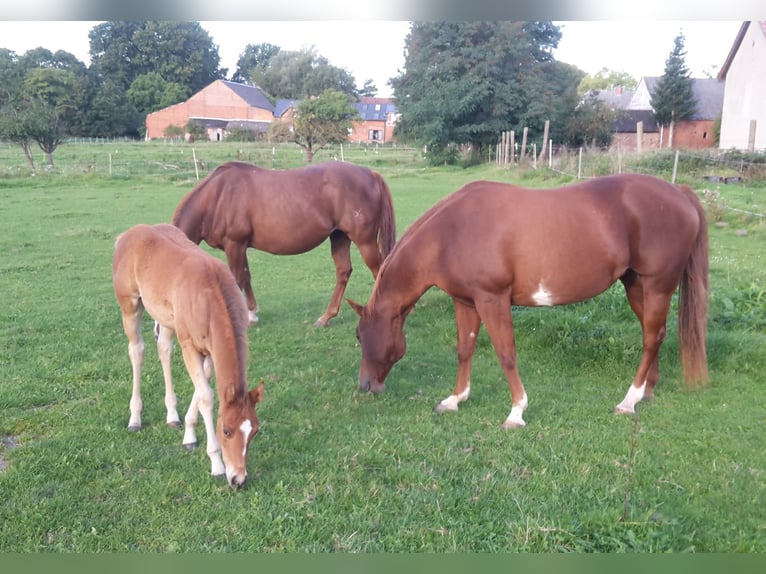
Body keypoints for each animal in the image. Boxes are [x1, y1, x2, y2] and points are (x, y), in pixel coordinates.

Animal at [112, 223, 266, 488]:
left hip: (166, 319)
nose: (238, 479)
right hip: (130, 305)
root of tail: (127, 234)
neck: (209, 296)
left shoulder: (210, 351)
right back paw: (135, 418)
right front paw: (216, 465)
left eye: (254, 431)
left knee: (164, 349)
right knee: (137, 350)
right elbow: (206, 396)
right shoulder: (189, 346)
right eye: (226, 430)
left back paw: (172, 416)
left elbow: (202, 390)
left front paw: (189, 435)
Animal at [172, 161, 396, 328]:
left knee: (379, 271)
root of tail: (371, 174)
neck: (218, 195)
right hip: (340, 237)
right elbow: (246, 277)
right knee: (343, 272)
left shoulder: (234, 244)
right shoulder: (241, 246)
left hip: (364, 241)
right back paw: (325, 318)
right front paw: (252, 314)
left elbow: (237, 279)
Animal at [348, 173, 708, 430]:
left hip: (658, 285)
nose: (365, 384)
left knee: (650, 338)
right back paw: (647, 391)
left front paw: (516, 412)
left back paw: (628, 401)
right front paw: (454, 399)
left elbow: (506, 354)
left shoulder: (492, 299)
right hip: (636, 285)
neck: (450, 234)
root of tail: (680, 194)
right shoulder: (465, 301)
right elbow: (465, 349)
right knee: (655, 334)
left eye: (359, 335)